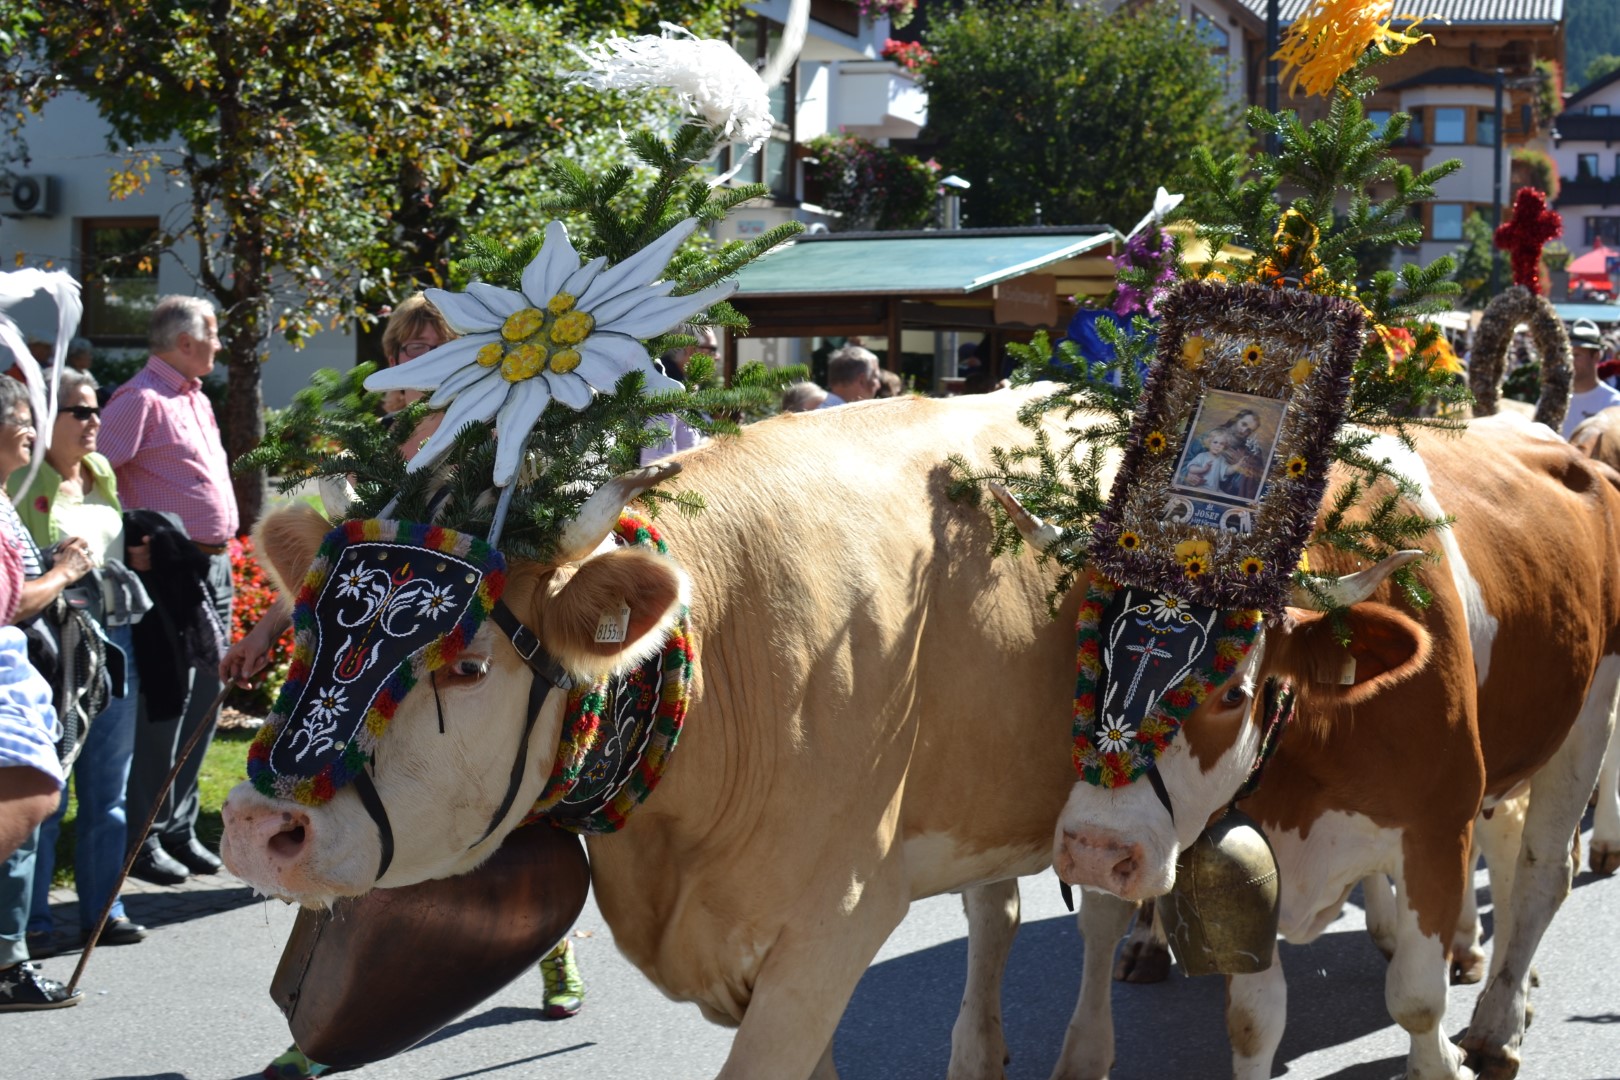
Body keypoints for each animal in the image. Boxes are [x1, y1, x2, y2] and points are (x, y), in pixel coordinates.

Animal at [221, 393, 1121, 1080]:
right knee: (996, 910)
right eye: (304, 631)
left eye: (468, 667)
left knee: (1100, 914)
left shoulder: (837, 919)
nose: (259, 827)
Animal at [1036, 420, 1620, 1080]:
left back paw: (1498, 1024)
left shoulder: (1438, 827)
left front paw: (1442, 1059)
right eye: (1083, 663)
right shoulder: (1258, 867)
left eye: (1233, 693)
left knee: (1543, 868)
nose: (1095, 850)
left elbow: (1417, 998)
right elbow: (1255, 1020)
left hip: (1592, 708)